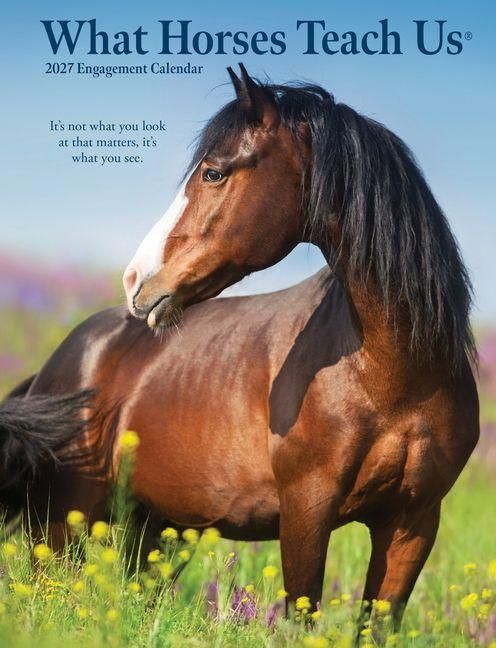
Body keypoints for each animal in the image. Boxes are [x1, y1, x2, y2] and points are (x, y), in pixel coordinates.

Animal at [0, 65, 479, 629]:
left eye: (213, 173)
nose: (135, 280)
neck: (391, 376)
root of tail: (58, 366)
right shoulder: (307, 510)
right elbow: (302, 617)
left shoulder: (412, 522)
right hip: (60, 528)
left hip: (159, 526)